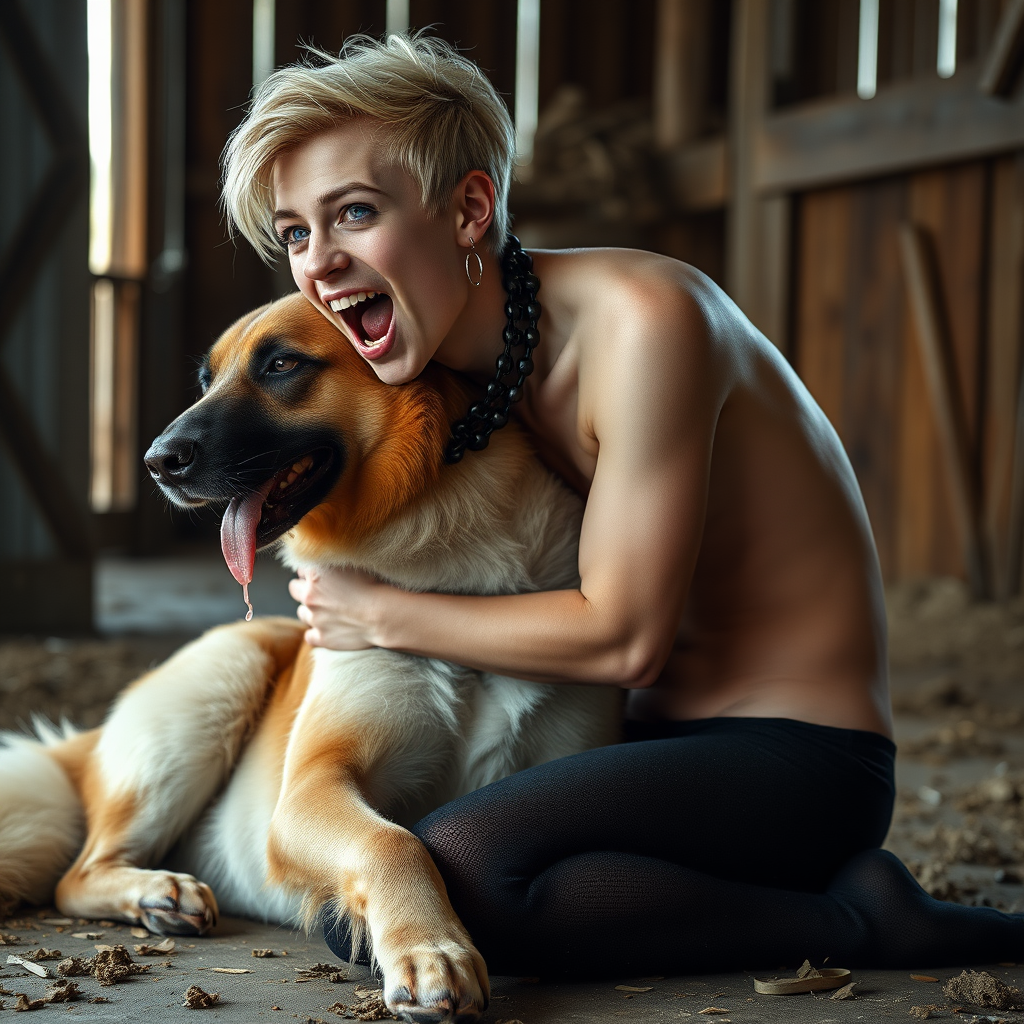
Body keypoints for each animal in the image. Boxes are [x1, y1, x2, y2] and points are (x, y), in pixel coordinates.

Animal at [0, 294, 618, 1024]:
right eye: (206, 380)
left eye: (281, 364)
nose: (156, 461)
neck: (458, 592)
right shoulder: (310, 788)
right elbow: (393, 839)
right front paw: (432, 950)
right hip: (219, 679)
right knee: (76, 875)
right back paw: (158, 891)